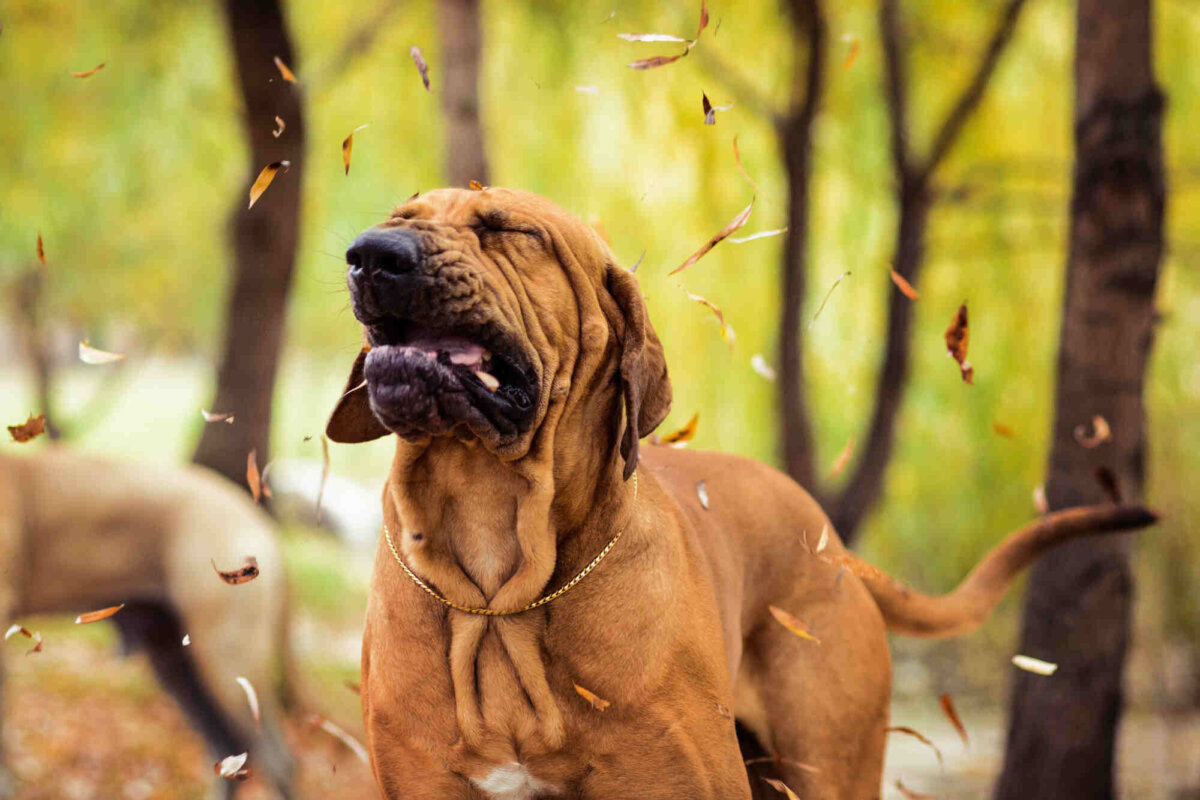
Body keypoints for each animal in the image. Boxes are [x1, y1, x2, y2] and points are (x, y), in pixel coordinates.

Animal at [326, 189, 1152, 800]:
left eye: (508, 231)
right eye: (402, 218)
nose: (370, 254)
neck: (501, 585)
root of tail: (832, 543)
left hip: (827, 761)